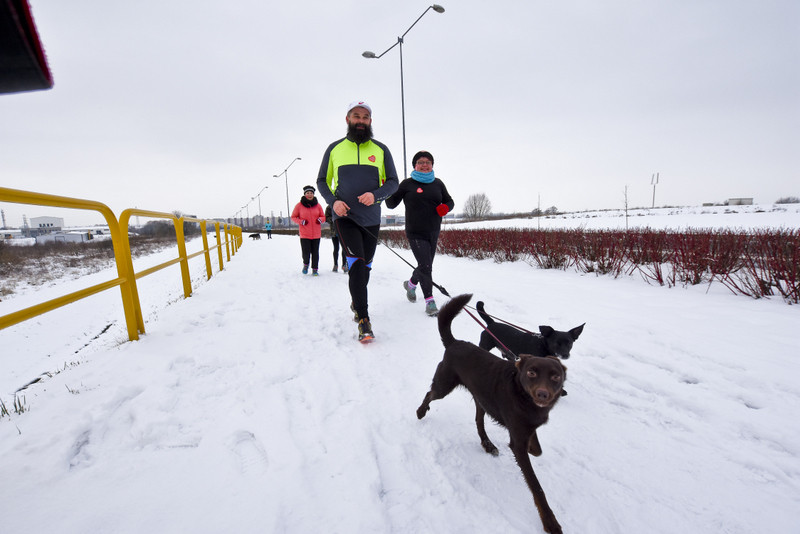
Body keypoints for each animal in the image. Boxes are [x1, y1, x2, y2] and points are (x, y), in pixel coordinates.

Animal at [416, 296, 564, 532]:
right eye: (531, 373)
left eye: (555, 377)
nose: (543, 394)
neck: (521, 393)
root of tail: (454, 343)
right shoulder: (518, 441)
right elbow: (536, 486)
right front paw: (550, 521)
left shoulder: (526, 428)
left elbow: (537, 449)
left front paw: (533, 446)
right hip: (444, 384)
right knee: (431, 393)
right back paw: (421, 411)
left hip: (481, 400)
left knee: (478, 421)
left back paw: (487, 444)